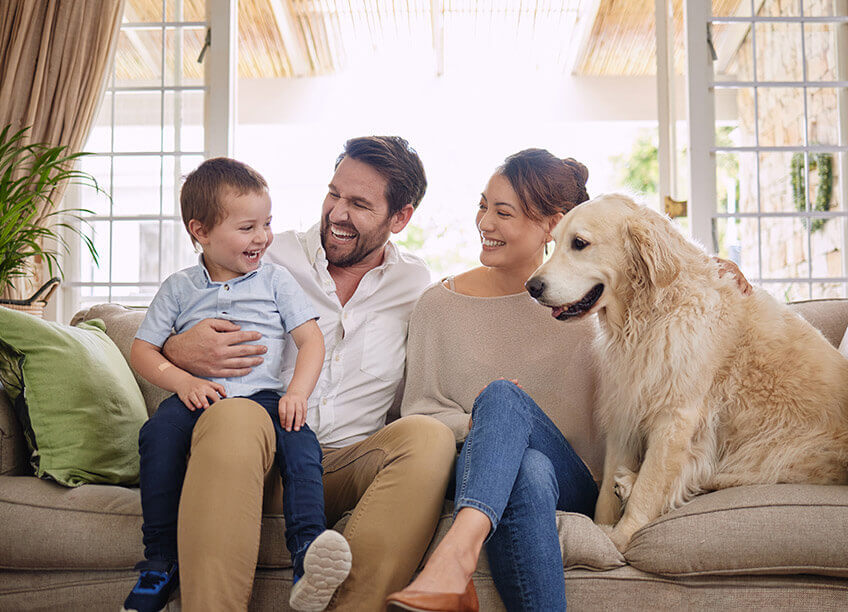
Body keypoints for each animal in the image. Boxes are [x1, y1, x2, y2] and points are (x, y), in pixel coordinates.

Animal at [528, 194, 844, 552]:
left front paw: (620, 538)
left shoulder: (675, 415)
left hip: (778, 452)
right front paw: (600, 529)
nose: (531, 286)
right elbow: (606, 488)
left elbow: (651, 486)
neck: (649, 314)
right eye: (553, 243)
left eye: (579, 243)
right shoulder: (626, 407)